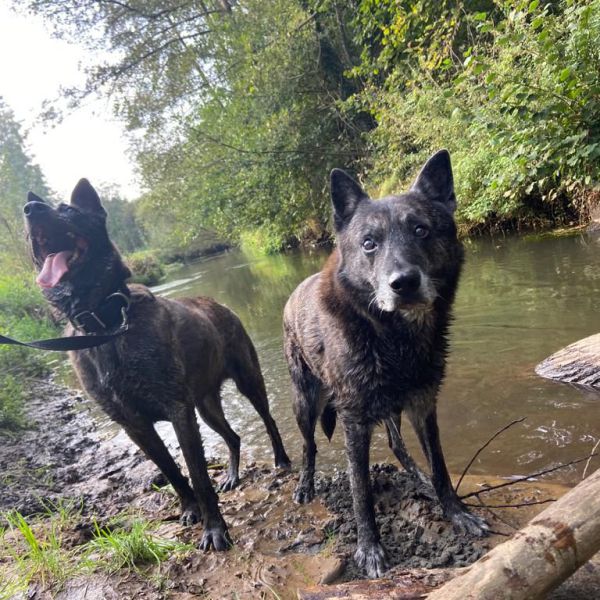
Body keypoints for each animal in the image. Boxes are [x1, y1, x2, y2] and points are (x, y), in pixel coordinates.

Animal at [24, 180, 292, 552]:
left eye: (68, 210)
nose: (30, 209)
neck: (105, 324)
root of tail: (220, 304)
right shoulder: (135, 426)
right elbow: (172, 472)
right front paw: (190, 510)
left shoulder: (178, 411)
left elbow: (197, 474)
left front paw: (214, 530)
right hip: (206, 407)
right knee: (234, 437)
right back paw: (232, 475)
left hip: (248, 382)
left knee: (269, 421)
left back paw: (281, 459)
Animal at [282, 149, 488, 576]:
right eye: (369, 243)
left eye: (421, 230)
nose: (403, 283)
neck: (394, 339)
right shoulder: (355, 421)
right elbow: (360, 490)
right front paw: (370, 549)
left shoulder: (423, 404)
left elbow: (441, 466)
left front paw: (457, 512)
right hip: (305, 401)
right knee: (309, 446)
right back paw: (305, 486)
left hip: (391, 404)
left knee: (396, 442)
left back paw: (416, 476)